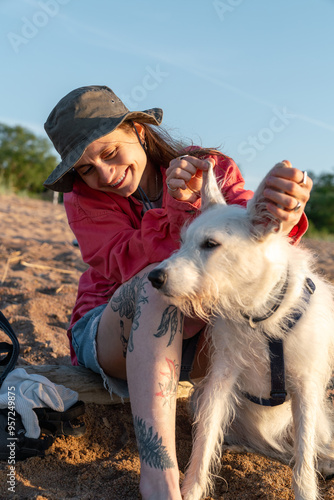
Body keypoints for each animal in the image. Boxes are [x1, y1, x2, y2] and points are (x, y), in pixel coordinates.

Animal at [149, 165, 334, 500]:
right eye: (182, 241)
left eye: (210, 244)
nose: (154, 277)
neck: (260, 317)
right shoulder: (219, 382)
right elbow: (204, 443)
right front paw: (192, 490)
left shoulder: (306, 390)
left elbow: (304, 461)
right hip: (200, 399)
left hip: (318, 419)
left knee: (308, 449)